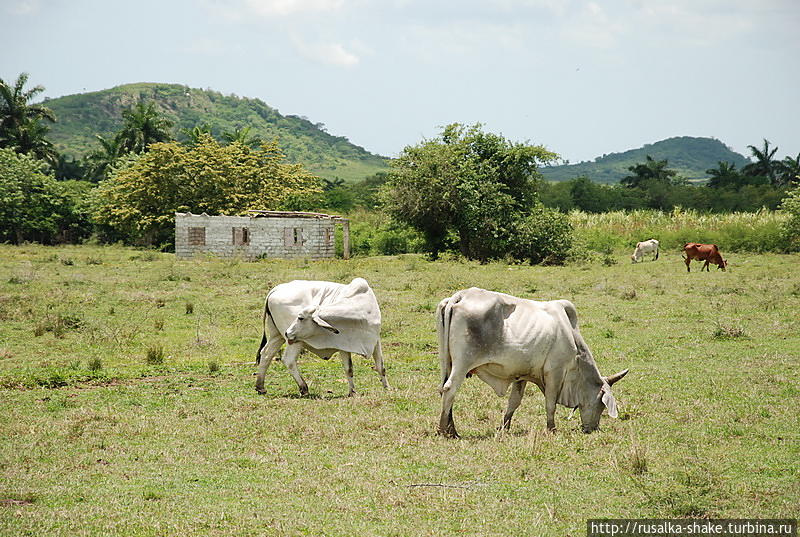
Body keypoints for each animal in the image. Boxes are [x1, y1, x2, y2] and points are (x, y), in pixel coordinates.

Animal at [255, 278, 390, 396]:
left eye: (300, 318)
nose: (288, 332)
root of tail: (275, 289)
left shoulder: (375, 341)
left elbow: (380, 367)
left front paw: (387, 388)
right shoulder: (344, 345)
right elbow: (349, 369)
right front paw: (352, 392)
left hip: (277, 335)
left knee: (266, 354)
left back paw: (260, 386)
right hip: (295, 340)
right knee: (289, 360)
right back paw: (303, 388)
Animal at [434, 288, 628, 436]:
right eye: (601, 405)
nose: (592, 429)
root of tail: (460, 296)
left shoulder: (521, 375)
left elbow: (514, 402)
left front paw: (504, 428)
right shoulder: (555, 372)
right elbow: (550, 404)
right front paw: (552, 429)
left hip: (447, 362)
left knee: (444, 389)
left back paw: (450, 428)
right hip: (462, 363)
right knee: (450, 389)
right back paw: (447, 431)